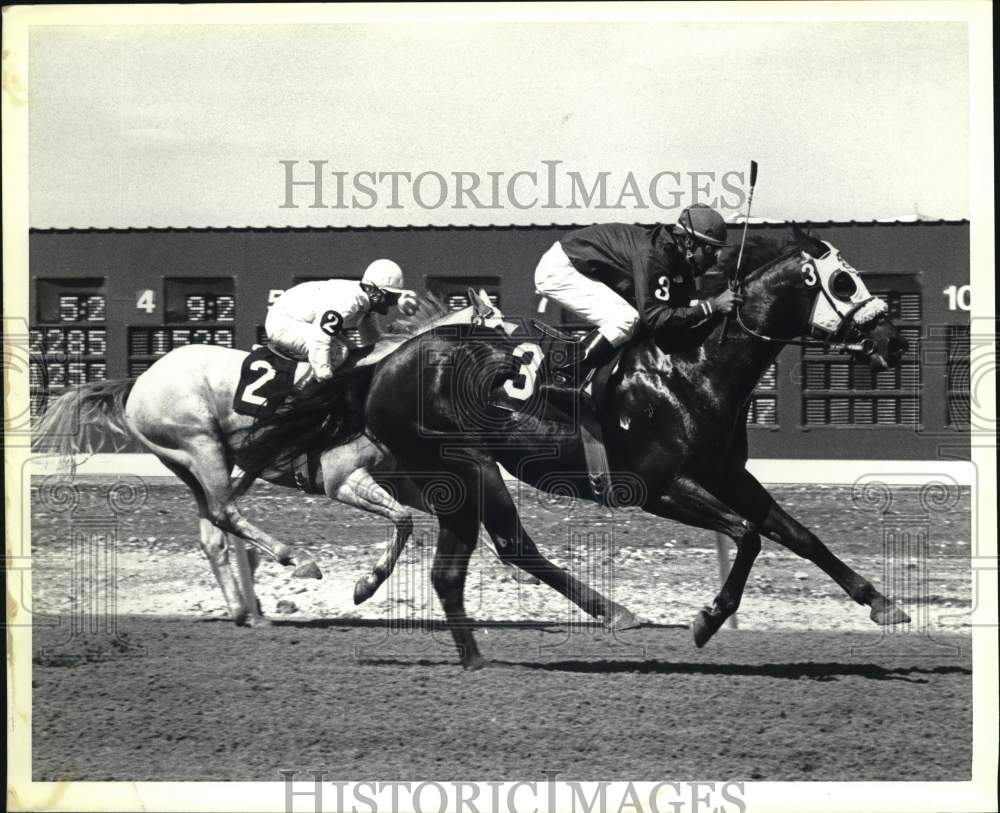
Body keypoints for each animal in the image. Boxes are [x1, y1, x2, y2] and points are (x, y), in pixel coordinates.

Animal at [244, 224, 916, 668]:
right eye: (843, 280)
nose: (893, 339)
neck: (692, 367)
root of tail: (379, 365)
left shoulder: (727, 473)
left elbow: (797, 534)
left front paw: (882, 603)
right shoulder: (652, 486)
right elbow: (748, 535)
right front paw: (706, 620)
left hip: (466, 473)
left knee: (470, 564)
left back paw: (489, 653)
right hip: (459, 468)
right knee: (483, 557)